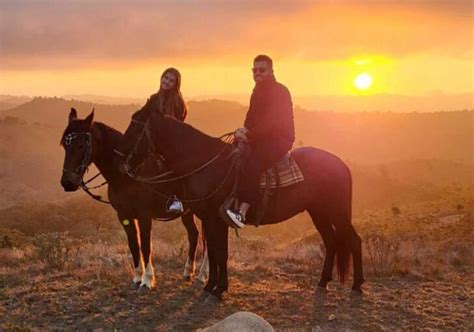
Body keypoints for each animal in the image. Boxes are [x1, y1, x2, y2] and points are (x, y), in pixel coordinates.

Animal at [59, 107, 207, 290]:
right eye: (65, 145)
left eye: (81, 145)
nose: (67, 183)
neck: (125, 176)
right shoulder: (124, 215)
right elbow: (134, 245)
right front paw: (137, 277)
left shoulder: (144, 216)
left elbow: (145, 245)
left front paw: (148, 280)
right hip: (187, 212)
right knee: (194, 234)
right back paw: (188, 272)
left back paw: (202, 275)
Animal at [114, 107, 362, 302]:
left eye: (135, 127)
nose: (120, 155)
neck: (204, 163)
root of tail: (342, 165)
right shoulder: (209, 219)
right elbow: (214, 252)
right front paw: (209, 286)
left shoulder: (217, 219)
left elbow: (221, 253)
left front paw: (218, 289)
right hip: (318, 212)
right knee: (331, 242)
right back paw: (322, 283)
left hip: (337, 213)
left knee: (354, 240)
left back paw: (357, 286)